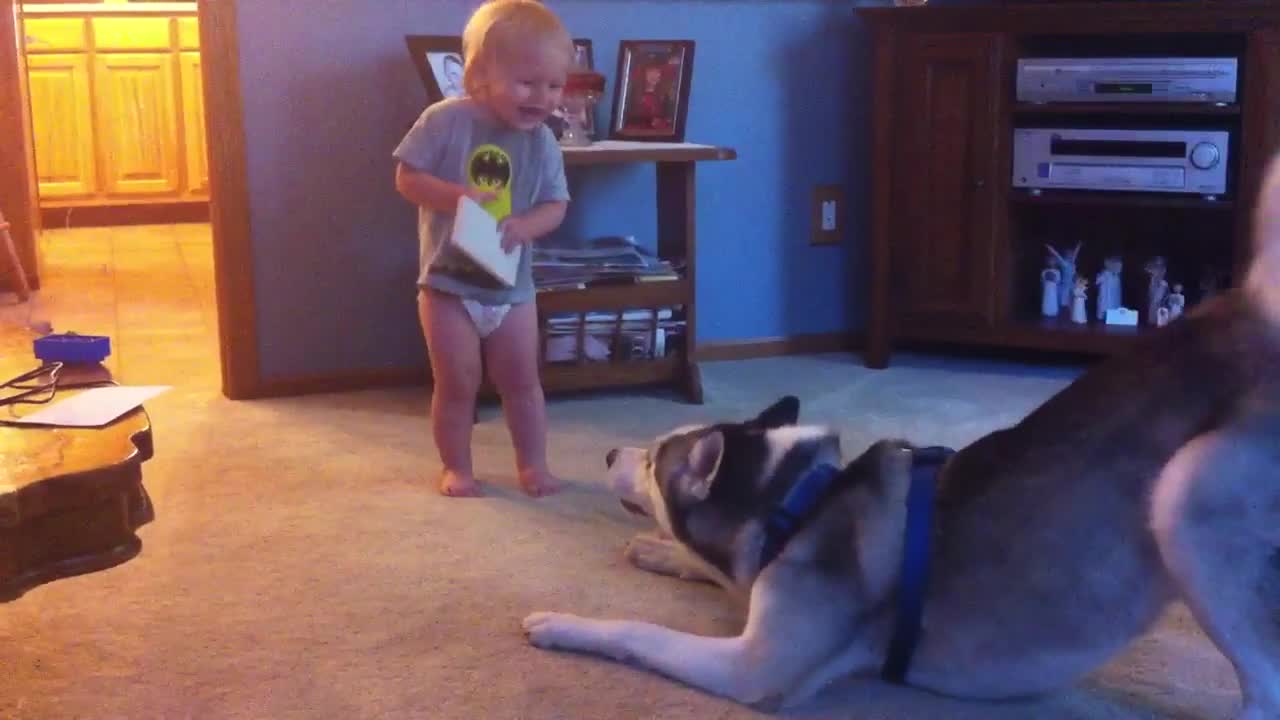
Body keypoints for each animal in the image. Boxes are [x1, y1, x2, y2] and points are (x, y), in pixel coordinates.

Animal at [524, 155, 1280, 712]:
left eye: (654, 460)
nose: (610, 451)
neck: (797, 503)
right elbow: (709, 568)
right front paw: (659, 552)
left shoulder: (753, 666)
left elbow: (638, 630)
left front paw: (562, 623)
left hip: (1184, 497)